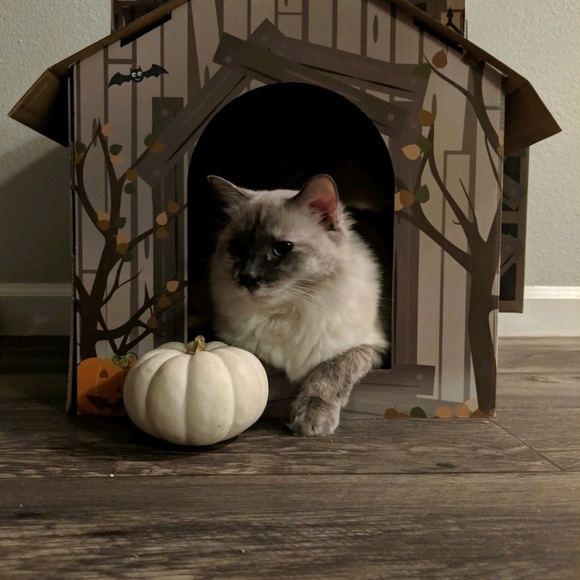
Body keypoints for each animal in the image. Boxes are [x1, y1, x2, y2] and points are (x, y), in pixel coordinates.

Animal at [208, 174, 387, 436]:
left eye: (282, 248)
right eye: (236, 249)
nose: (247, 278)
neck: (286, 310)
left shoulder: (363, 347)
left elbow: (327, 375)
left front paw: (311, 420)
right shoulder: (240, 345)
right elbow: (262, 370)